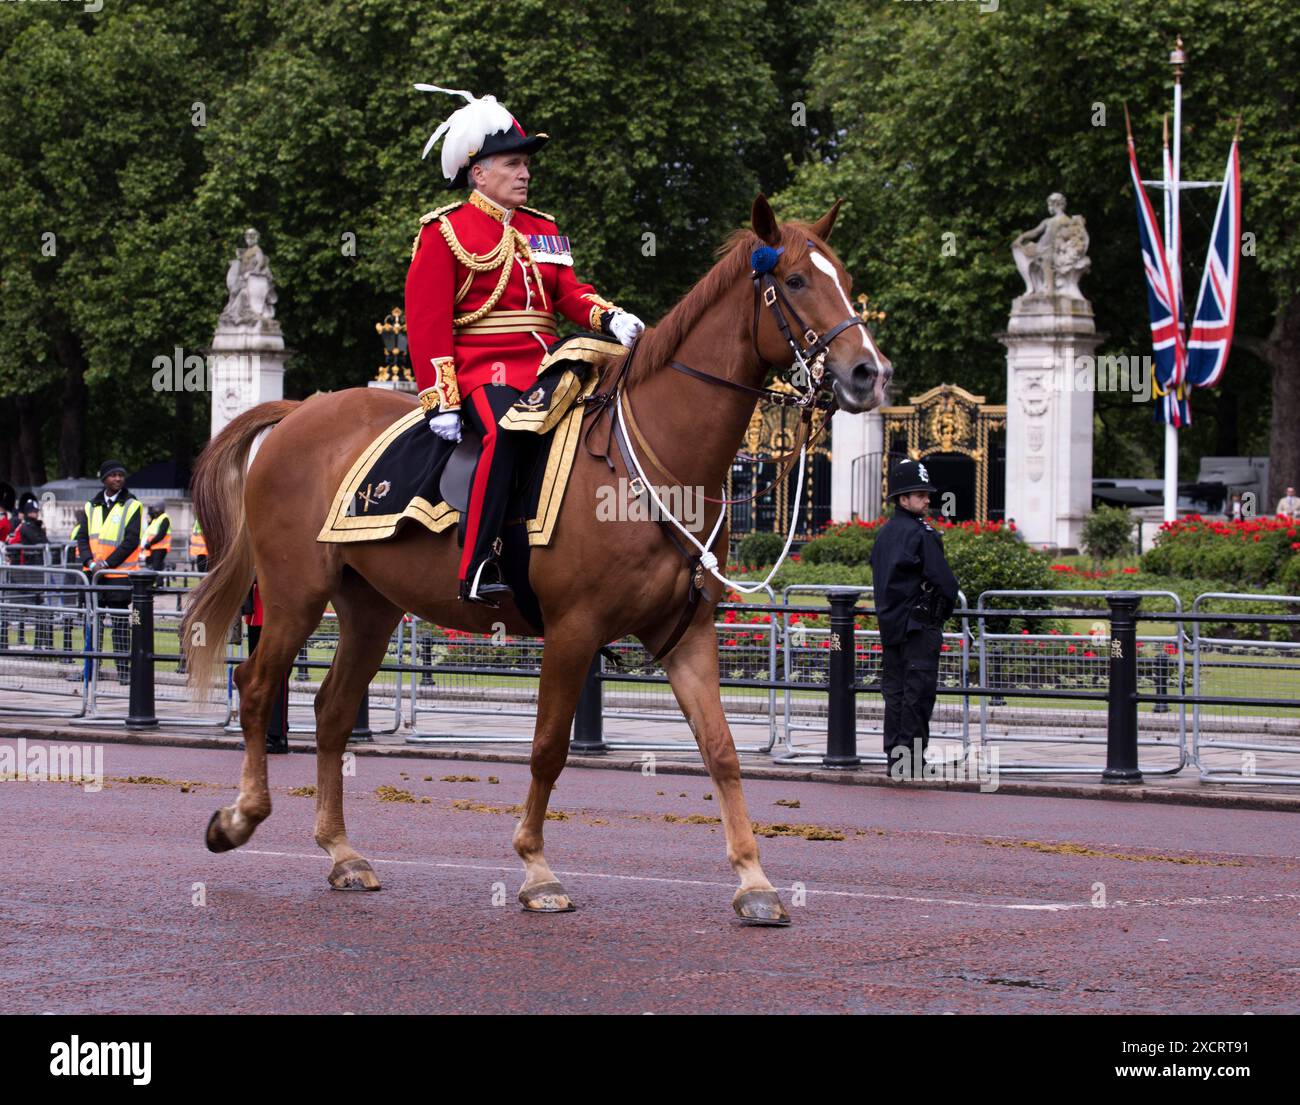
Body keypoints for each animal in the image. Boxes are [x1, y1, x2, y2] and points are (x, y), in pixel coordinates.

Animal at [183, 196, 889, 920]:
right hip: (295, 592)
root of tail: (299, 411)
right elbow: (549, 747)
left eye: (846, 278)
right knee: (257, 686)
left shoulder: (687, 632)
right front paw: (536, 868)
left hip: (370, 607)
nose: (870, 373)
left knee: (331, 710)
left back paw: (342, 853)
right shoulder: (574, 628)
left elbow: (720, 750)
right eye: (796, 281)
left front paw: (754, 880)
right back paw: (239, 818)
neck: (658, 461)